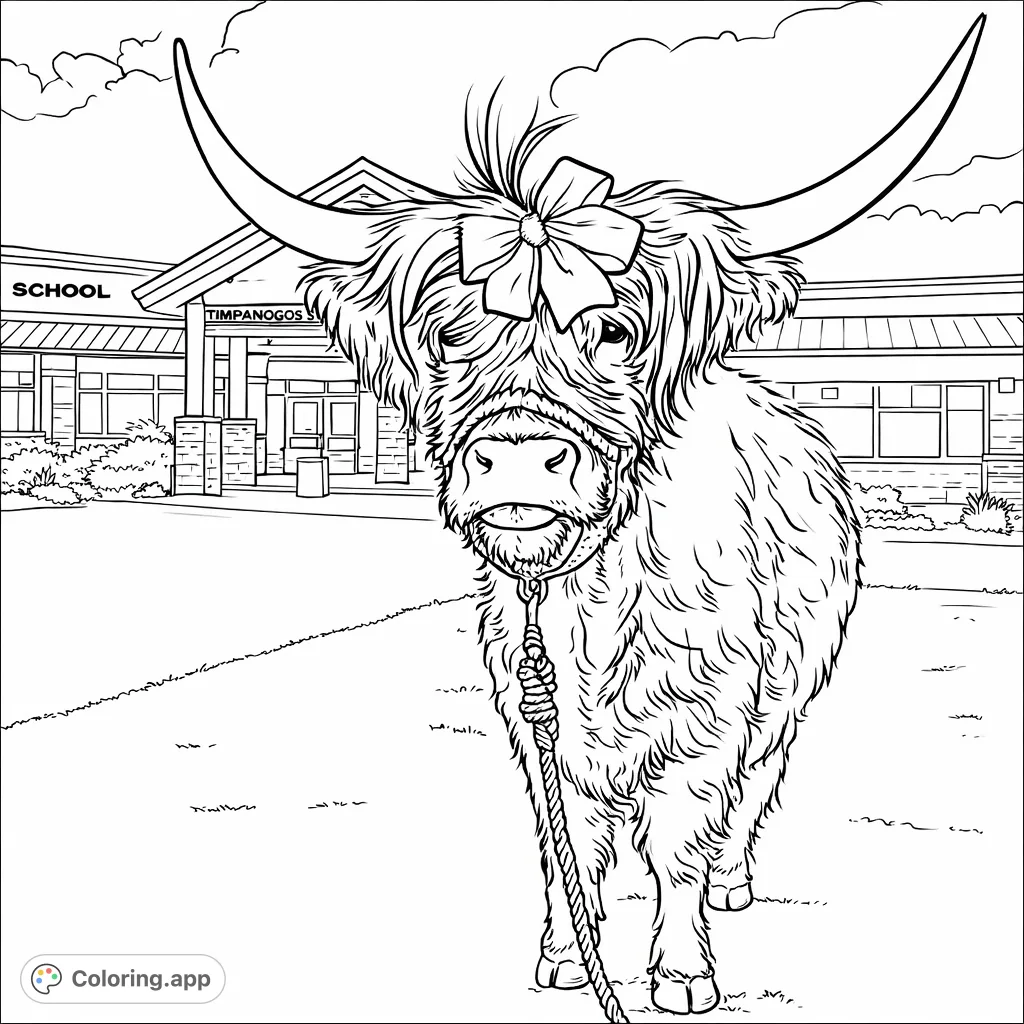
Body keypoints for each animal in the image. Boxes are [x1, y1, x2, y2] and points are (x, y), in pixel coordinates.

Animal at [172, 17, 983, 1015]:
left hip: (793, 684)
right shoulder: (534, 722)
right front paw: (567, 952)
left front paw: (681, 971)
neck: (586, 607)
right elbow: (567, 846)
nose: (519, 456)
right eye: (449, 333)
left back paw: (735, 883)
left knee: (758, 786)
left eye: (615, 330)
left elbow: (680, 843)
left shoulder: (710, 715)